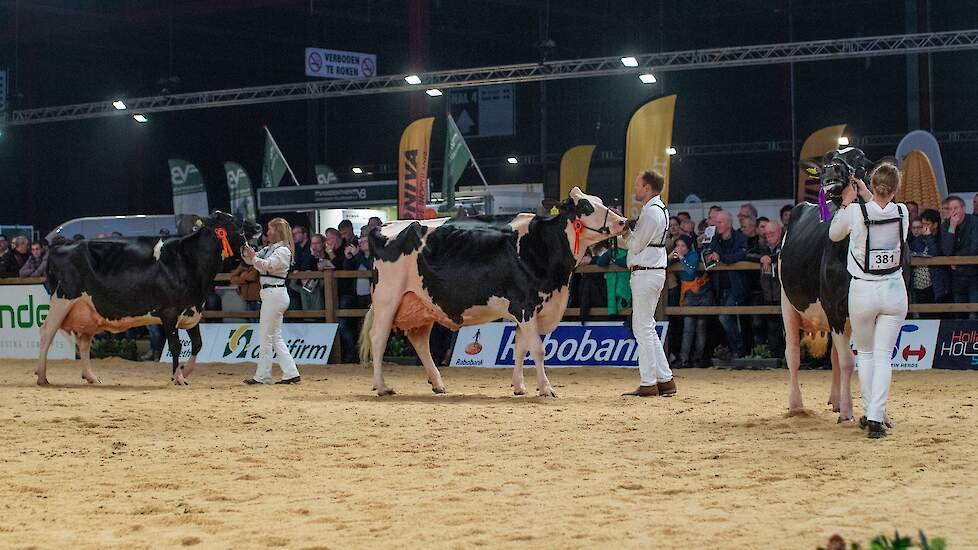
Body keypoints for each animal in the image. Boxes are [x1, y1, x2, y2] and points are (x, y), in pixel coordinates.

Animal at [37, 212, 260, 388]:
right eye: (230, 220)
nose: (257, 226)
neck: (189, 262)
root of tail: (60, 245)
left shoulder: (192, 311)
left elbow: (197, 344)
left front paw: (185, 372)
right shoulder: (169, 312)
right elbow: (176, 346)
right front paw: (177, 377)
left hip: (89, 310)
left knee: (83, 343)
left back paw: (91, 377)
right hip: (62, 300)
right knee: (46, 333)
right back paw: (41, 376)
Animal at [358, 188, 624, 398]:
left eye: (599, 200)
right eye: (586, 206)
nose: (623, 221)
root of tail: (386, 225)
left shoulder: (531, 310)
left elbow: (521, 348)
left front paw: (519, 387)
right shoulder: (524, 305)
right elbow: (537, 349)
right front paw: (546, 388)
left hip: (422, 303)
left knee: (420, 341)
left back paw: (437, 383)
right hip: (388, 299)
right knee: (379, 338)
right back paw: (382, 387)